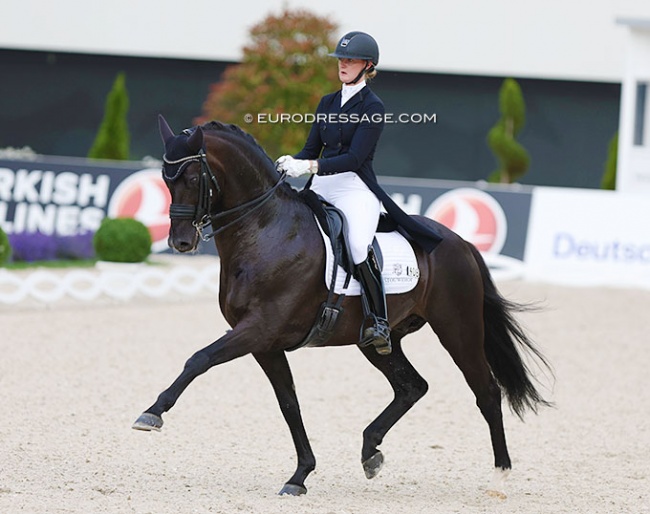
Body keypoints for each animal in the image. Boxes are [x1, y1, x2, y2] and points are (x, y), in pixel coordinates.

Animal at [133, 115, 552, 496]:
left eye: (192, 178)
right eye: (166, 180)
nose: (180, 242)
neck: (265, 230)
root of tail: (459, 242)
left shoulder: (259, 328)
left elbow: (199, 359)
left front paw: (152, 413)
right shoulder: (264, 343)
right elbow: (289, 404)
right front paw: (300, 475)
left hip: (458, 329)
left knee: (487, 392)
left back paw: (500, 475)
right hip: (377, 340)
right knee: (412, 387)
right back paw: (370, 452)